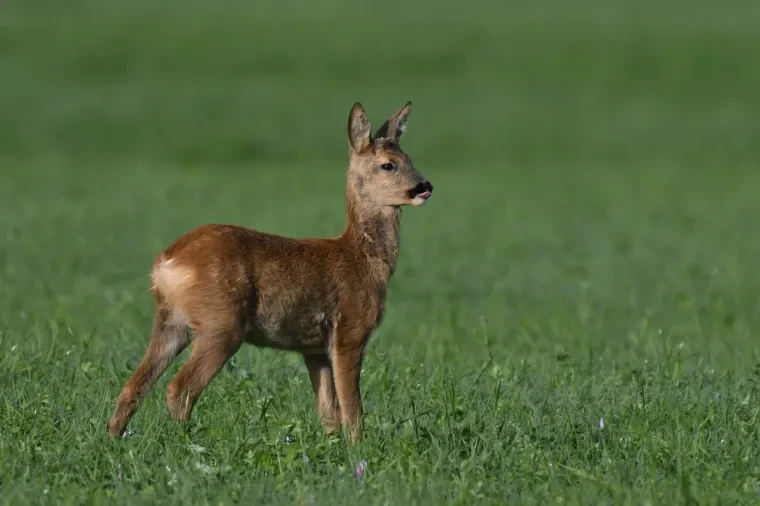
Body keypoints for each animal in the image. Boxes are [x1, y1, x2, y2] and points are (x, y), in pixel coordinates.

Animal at [107, 101, 434, 443]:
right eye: (388, 165)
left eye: (410, 159)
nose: (425, 187)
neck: (362, 259)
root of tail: (166, 262)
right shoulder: (350, 330)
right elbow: (352, 407)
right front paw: (359, 447)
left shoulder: (314, 349)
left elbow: (328, 411)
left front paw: (333, 446)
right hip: (222, 322)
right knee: (179, 387)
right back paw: (190, 441)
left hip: (171, 320)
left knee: (134, 384)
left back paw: (114, 439)